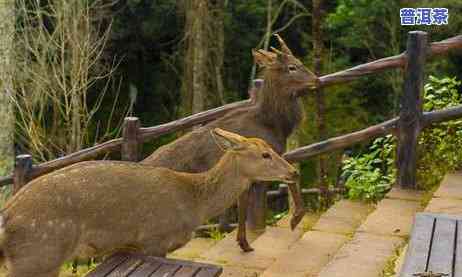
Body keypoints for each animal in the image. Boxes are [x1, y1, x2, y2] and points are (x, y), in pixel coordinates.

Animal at [0, 129, 300, 276]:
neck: (194, 204)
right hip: (39, 256)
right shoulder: (155, 239)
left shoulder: (128, 246)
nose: (294, 171)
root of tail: (8, 216)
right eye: (265, 155)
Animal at [143, 34, 320, 250]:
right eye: (292, 67)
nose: (316, 80)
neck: (275, 125)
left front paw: (243, 241)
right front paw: (294, 219)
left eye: (299, 61)